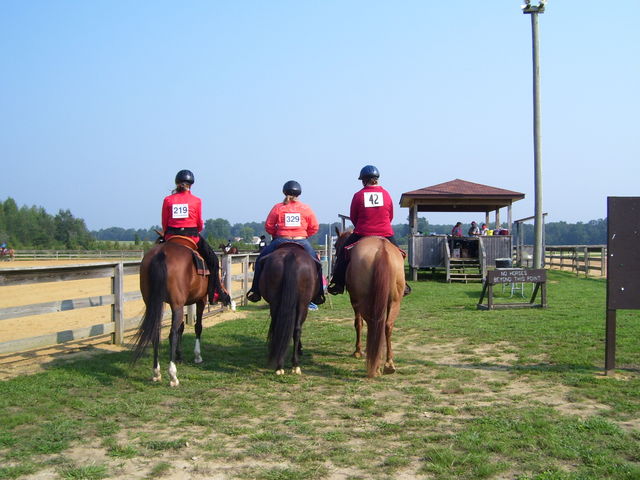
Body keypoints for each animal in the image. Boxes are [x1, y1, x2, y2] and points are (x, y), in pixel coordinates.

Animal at [131, 236, 229, 386]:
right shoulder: (200, 300)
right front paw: (197, 356)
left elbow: (181, 328)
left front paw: (179, 356)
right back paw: (173, 375)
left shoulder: (180, 304)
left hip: (154, 302)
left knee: (157, 332)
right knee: (172, 333)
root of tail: (161, 253)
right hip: (177, 304)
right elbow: (197, 327)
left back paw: (156, 372)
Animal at [258, 244, 318, 376]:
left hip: (277, 302)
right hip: (303, 304)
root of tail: (291, 254)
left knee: (283, 328)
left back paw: (280, 364)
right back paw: (293, 364)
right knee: (296, 329)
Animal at [336, 230, 404, 378]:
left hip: (364, 301)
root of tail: (381, 250)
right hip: (395, 301)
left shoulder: (355, 301)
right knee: (387, 326)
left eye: (336, 245)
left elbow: (358, 323)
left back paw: (375, 366)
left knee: (373, 324)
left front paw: (358, 351)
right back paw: (388, 364)